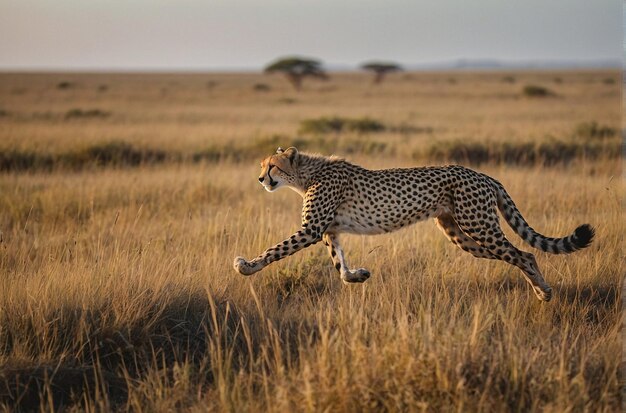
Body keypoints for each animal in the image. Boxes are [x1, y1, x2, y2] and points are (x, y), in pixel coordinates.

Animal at [232, 146, 592, 300]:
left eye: (272, 166)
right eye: (263, 165)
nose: (260, 178)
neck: (306, 174)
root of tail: (484, 174)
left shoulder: (310, 229)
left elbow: (275, 250)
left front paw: (246, 266)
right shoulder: (329, 231)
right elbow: (339, 265)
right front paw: (358, 276)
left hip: (479, 226)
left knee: (524, 254)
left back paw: (544, 292)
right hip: (461, 235)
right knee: (516, 255)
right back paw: (540, 289)